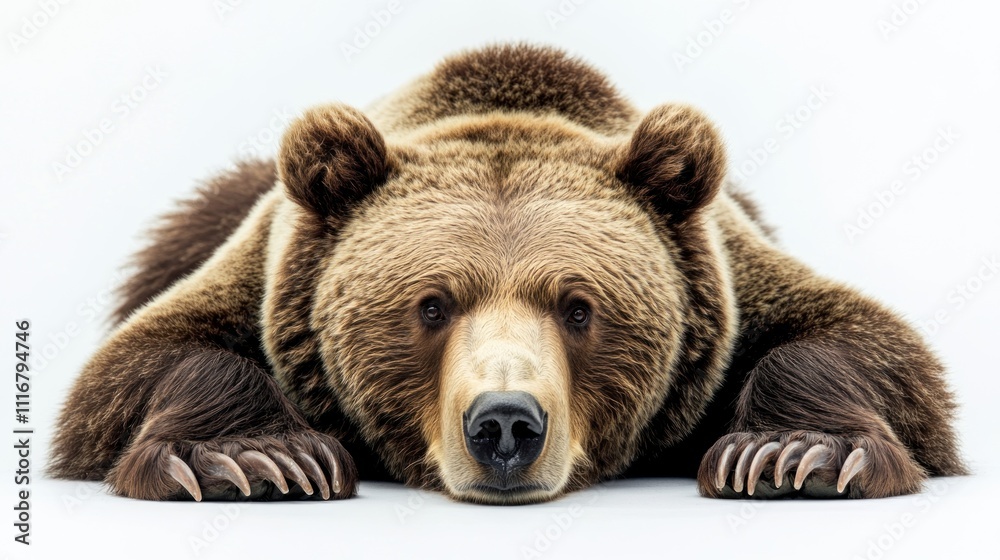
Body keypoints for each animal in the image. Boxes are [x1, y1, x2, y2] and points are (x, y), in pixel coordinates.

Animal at [50, 44, 965, 504]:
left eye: (579, 307)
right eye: (430, 305)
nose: (504, 425)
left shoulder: (728, 283)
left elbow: (859, 342)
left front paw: (790, 452)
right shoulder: (270, 281)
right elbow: (144, 362)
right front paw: (256, 460)